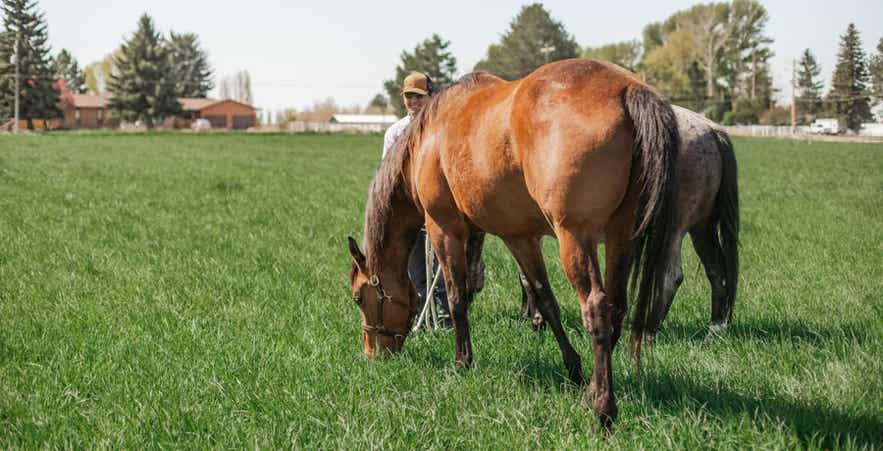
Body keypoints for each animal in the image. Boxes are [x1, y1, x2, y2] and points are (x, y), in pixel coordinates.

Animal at [346, 59, 681, 428]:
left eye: (359, 297)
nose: (372, 352)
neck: (428, 137)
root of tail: (626, 89)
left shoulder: (443, 229)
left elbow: (457, 296)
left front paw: (462, 361)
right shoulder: (518, 237)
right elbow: (543, 298)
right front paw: (572, 367)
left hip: (575, 238)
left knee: (596, 308)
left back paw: (603, 410)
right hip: (621, 237)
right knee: (617, 307)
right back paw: (592, 389)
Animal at [516, 105, 740, 340]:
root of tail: (710, 129)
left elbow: (528, 277)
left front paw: (536, 320)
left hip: (673, 228)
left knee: (671, 277)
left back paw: (648, 332)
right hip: (702, 227)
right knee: (716, 272)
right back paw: (714, 329)